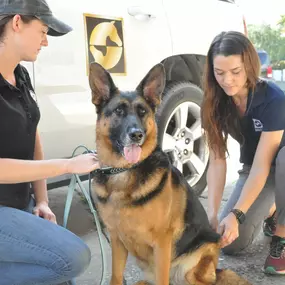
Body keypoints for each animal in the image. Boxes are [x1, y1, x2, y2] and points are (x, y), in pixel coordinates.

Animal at [87, 62, 250, 284]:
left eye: (142, 111)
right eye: (118, 111)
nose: (137, 135)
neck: (125, 170)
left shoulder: (162, 243)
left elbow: (161, 277)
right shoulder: (116, 240)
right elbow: (116, 276)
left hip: (196, 263)